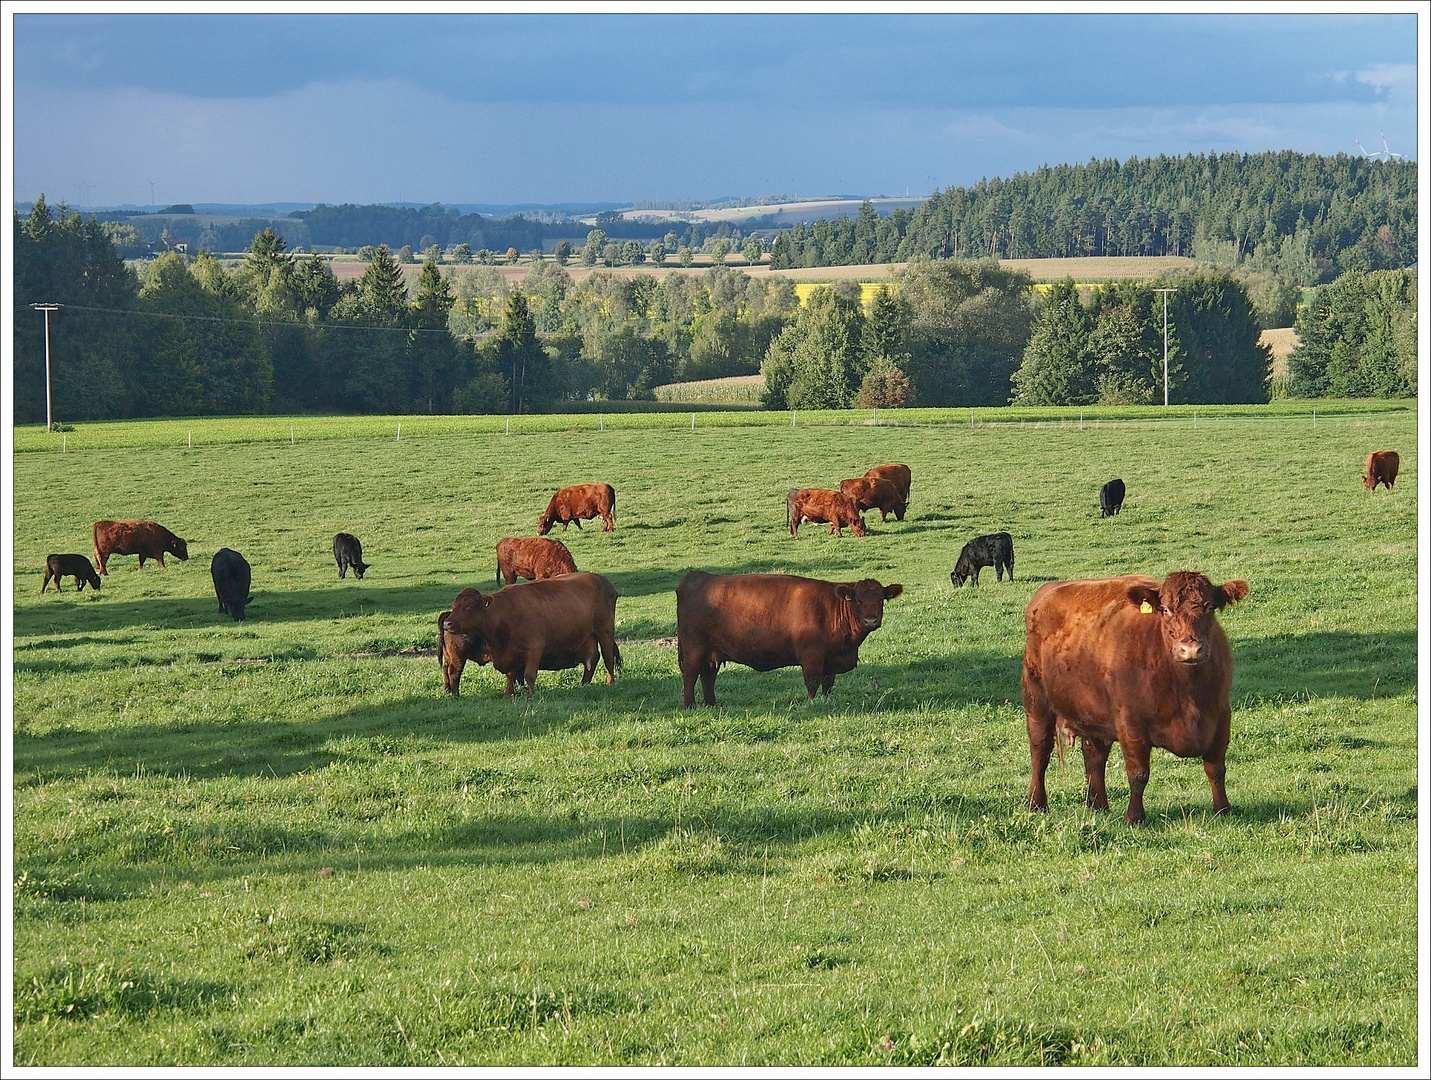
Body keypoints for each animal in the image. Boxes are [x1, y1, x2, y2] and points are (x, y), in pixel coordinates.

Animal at [432, 569, 618, 698]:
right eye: (455, 605)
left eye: (469, 607)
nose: (448, 623)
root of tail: (602, 580)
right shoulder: (510, 653)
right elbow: (511, 674)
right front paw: (509, 694)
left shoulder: (534, 648)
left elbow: (529, 675)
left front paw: (530, 695)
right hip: (589, 637)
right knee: (591, 660)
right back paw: (584, 684)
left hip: (604, 632)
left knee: (608, 657)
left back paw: (610, 683)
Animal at [675, 566, 898, 709]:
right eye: (858, 600)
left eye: (881, 599)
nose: (871, 620)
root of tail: (696, 577)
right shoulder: (812, 657)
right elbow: (813, 682)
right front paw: (812, 704)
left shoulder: (831, 660)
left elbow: (828, 684)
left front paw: (827, 701)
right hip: (694, 650)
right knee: (690, 675)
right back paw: (690, 706)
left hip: (712, 653)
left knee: (708, 676)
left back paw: (712, 705)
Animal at [1024, 569, 1247, 823]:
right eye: (1166, 609)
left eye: (1210, 607)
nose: (1190, 650)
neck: (1188, 692)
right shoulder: (1131, 724)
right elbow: (1138, 774)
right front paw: (1135, 817)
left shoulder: (1221, 717)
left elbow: (1216, 769)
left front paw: (1223, 810)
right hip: (1036, 701)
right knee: (1040, 750)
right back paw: (1036, 803)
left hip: (1092, 713)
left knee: (1094, 755)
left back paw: (1098, 806)